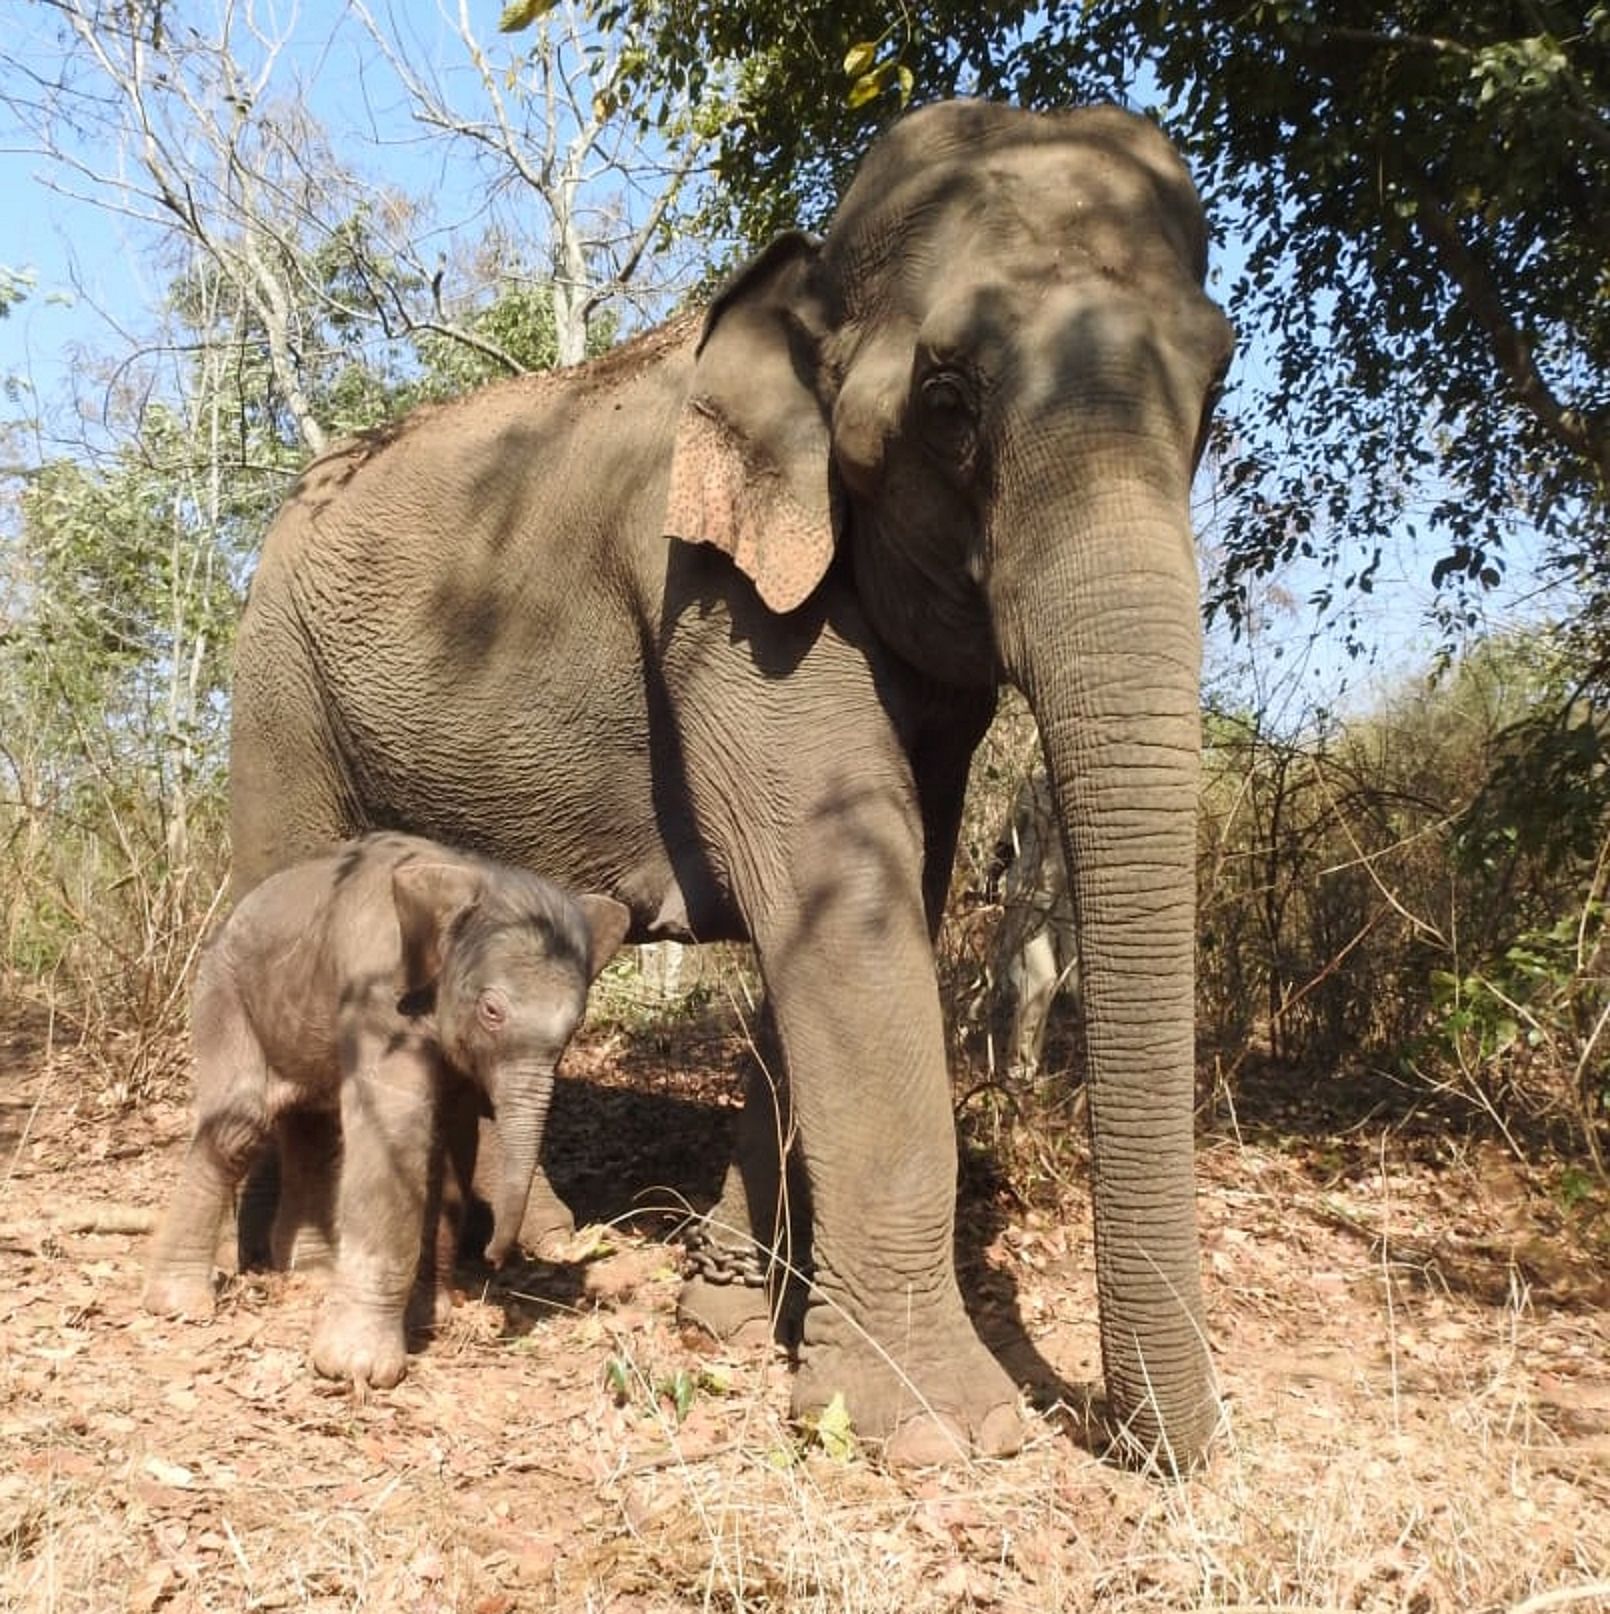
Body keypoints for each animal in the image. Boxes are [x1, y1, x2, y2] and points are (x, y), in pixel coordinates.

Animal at [141, 832, 629, 1388]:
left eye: (576, 1024)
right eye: (492, 1011)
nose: (494, 1258)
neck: (469, 874)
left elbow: (451, 1144)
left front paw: (428, 1316)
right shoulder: (379, 993)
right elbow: (398, 1128)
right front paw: (357, 1368)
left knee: (312, 1127)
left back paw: (312, 1276)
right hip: (224, 991)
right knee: (238, 1127)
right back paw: (180, 1303)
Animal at [227, 97, 1232, 1465]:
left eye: (1215, 382)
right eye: (948, 398)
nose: (1140, 1442)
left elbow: (881, 890)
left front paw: (726, 1313)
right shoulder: (714, 601)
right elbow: (843, 900)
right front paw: (942, 1427)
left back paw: (527, 1237)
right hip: (279, 685)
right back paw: (309, 1255)